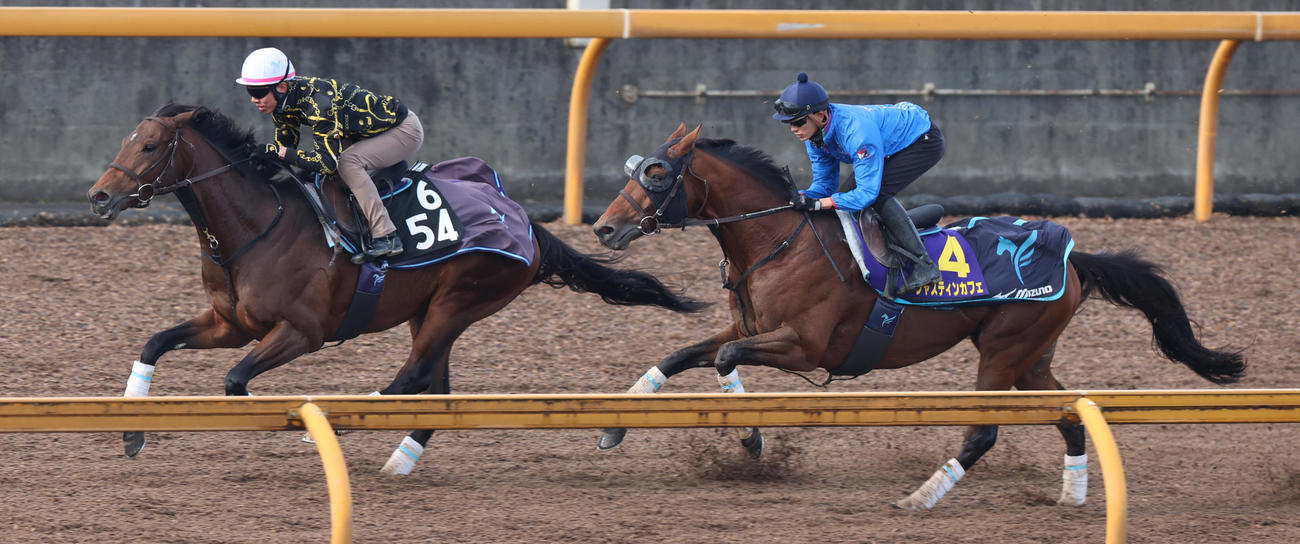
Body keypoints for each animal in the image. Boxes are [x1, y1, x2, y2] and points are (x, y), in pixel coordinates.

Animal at [87, 104, 704, 474]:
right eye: (126, 141)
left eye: (149, 147)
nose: (98, 196)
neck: (258, 226)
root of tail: (522, 220)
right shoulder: (231, 324)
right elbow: (153, 343)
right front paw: (132, 432)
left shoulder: (303, 332)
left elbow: (235, 383)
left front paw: (300, 426)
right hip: (430, 310)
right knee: (435, 387)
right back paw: (398, 460)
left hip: (461, 300)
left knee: (412, 378)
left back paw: (341, 426)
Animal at [590, 124, 1245, 510]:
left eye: (656, 174)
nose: (603, 228)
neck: (779, 239)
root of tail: (1073, 256)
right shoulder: (750, 328)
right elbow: (679, 356)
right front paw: (614, 426)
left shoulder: (804, 345)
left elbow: (723, 360)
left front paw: (751, 436)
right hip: (1031, 357)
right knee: (1069, 414)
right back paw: (1071, 496)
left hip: (1004, 351)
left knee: (984, 431)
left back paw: (921, 498)